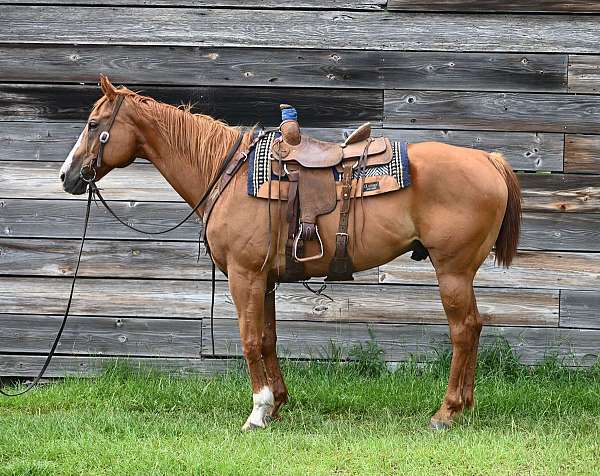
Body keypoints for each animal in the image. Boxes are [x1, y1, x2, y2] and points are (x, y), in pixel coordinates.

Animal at [61, 76, 520, 430]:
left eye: (93, 124)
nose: (66, 176)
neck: (226, 175)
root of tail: (489, 160)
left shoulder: (244, 275)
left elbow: (249, 340)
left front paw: (257, 411)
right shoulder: (264, 280)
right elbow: (267, 339)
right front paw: (277, 405)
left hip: (452, 271)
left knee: (463, 331)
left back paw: (446, 412)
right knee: (474, 328)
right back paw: (463, 406)